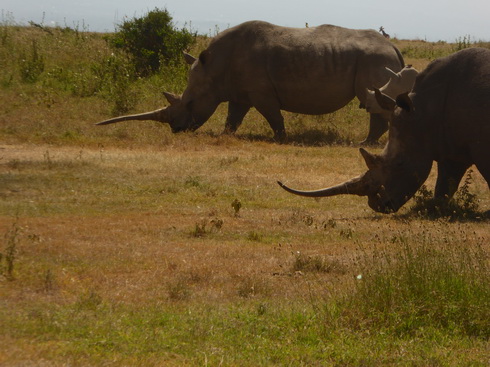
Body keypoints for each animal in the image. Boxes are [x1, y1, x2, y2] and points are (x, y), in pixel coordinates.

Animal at [97, 19, 404, 144]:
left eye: (190, 103)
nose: (176, 129)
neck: (214, 67)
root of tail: (393, 47)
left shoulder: (261, 92)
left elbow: (273, 116)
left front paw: (281, 139)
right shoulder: (238, 92)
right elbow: (233, 117)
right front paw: (225, 136)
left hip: (374, 59)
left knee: (372, 100)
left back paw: (365, 142)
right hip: (377, 59)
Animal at [280, 49, 490, 216]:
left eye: (400, 163)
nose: (377, 205)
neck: (423, 109)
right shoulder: (449, 146)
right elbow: (445, 184)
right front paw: (435, 209)